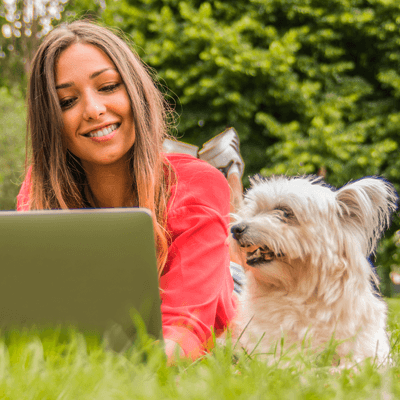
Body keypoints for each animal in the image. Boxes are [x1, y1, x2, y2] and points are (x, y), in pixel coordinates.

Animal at [230, 175, 398, 366]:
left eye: (284, 211)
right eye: (255, 211)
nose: (235, 229)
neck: (302, 293)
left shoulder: (371, 350)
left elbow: (357, 363)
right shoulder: (272, 351)